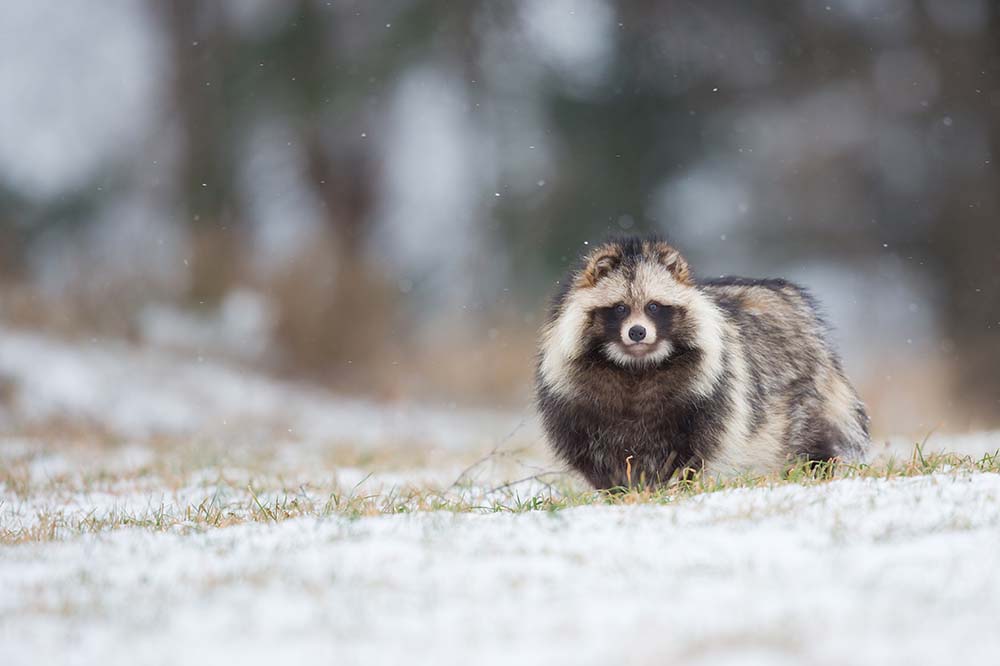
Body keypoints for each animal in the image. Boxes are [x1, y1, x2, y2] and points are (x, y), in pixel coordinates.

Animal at [536, 236, 872, 486]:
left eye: (654, 306)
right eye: (619, 308)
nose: (637, 332)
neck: (637, 367)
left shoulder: (706, 391)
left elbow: (693, 448)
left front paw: (673, 484)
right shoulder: (573, 399)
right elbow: (592, 451)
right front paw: (616, 489)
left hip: (802, 395)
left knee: (806, 437)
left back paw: (814, 468)